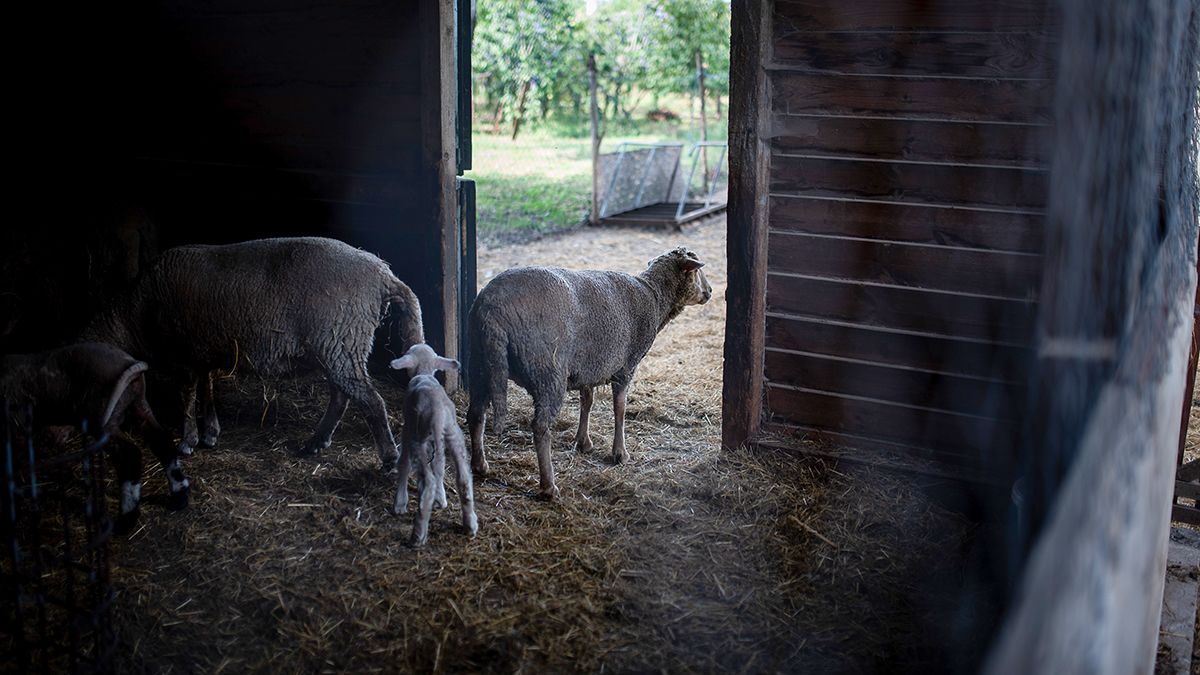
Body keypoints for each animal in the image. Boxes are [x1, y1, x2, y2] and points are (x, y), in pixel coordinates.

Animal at [1, 341, 188, 530]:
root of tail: (130, 362)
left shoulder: (16, 429)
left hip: (103, 417)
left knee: (129, 455)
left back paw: (126, 519)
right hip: (138, 404)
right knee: (162, 441)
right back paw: (179, 497)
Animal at [82, 236, 424, 468]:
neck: (135, 313)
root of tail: (382, 273)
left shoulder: (184, 353)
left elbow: (188, 396)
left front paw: (188, 440)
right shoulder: (203, 350)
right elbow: (206, 389)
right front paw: (211, 433)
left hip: (341, 339)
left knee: (370, 399)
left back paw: (388, 457)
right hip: (337, 344)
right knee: (342, 395)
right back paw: (316, 441)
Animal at [386, 343, 475, 542]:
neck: (425, 372)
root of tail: (438, 413)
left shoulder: (407, 429)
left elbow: (404, 463)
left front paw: (400, 503)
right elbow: (438, 468)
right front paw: (440, 499)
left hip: (419, 438)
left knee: (429, 480)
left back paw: (418, 533)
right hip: (453, 434)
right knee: (463, 478)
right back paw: (470, 525)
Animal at [463, 243, 710, 497]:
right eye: (697, 270)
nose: (709, 291)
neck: (655, 296)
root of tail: (491, 312)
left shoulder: (589, 366)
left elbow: (587, 402)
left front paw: (583, 442)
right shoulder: (626, 366)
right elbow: (620, 408)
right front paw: (620, 453)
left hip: (479, 364)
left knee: (476, 414)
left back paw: (480, 465)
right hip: (547, 371)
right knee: (540, 427)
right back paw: (549, 486)